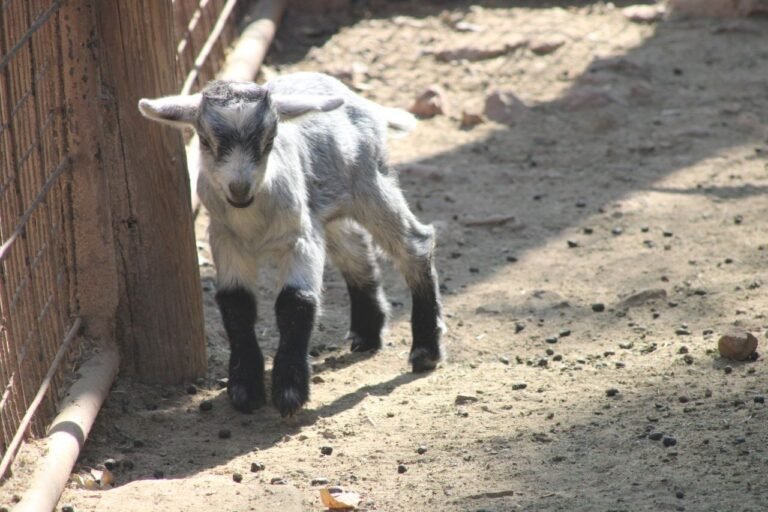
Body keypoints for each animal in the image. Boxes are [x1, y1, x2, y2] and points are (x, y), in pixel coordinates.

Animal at [138, 72, 443, 416]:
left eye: (269, 140)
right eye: (205, 141)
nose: (239, 189)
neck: (253, 220)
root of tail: (361, 101)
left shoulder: (300, 237)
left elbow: (296, 301)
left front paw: (289, 390)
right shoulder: (226, 240)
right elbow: (236, 303)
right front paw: (245, 389)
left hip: (370, 183)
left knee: (414, 244)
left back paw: (425, 350)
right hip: (327, 207)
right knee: (355, 250)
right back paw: (367, 333)